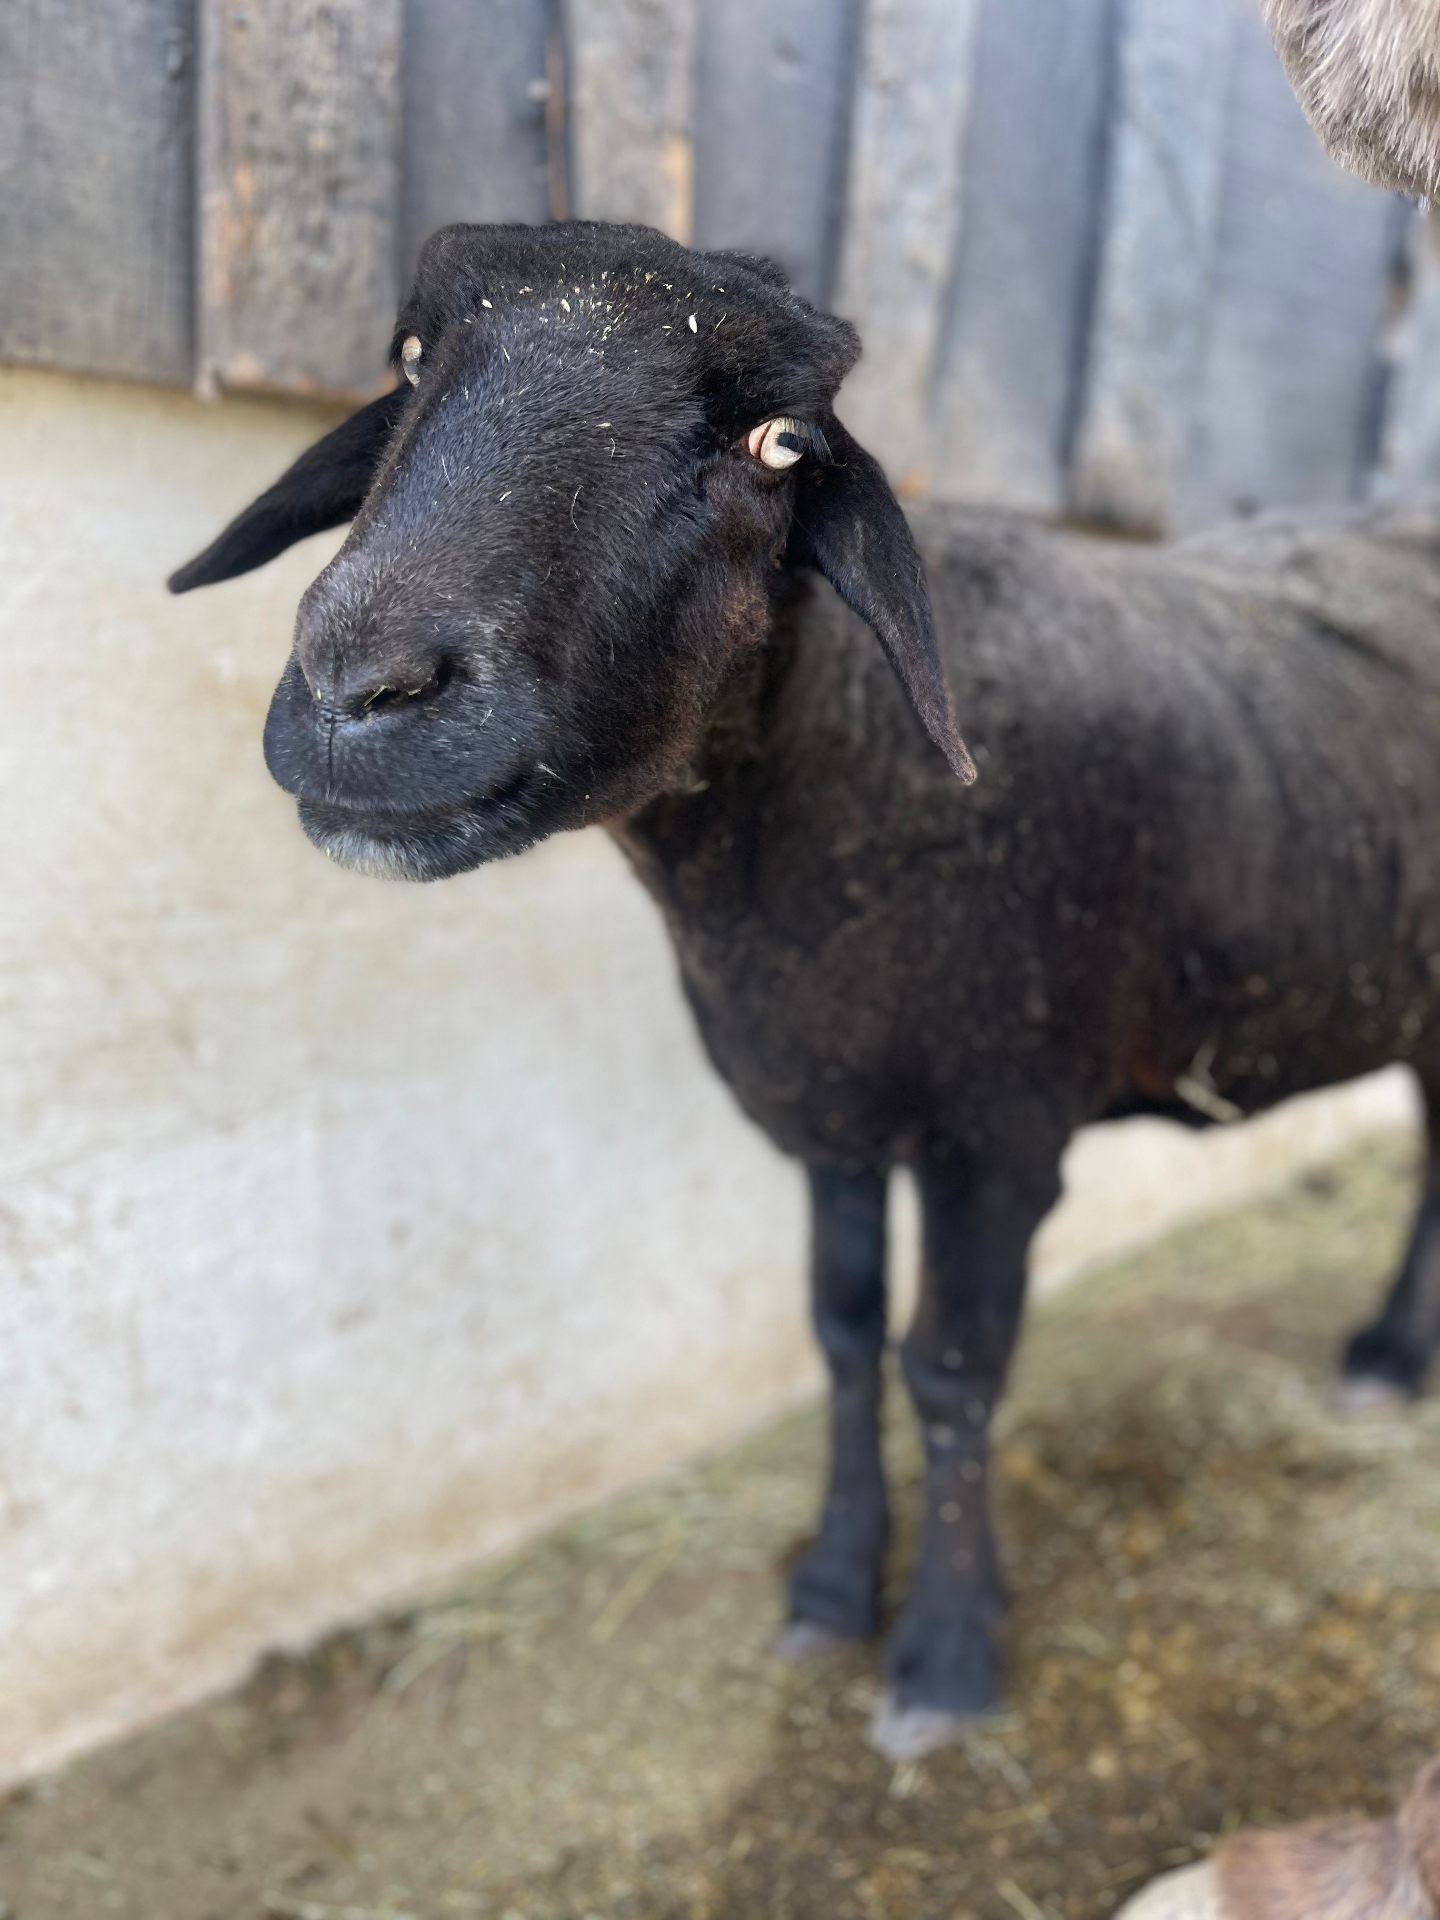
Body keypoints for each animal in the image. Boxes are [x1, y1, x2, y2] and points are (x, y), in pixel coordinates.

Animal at [171, 220, 1440, 1758]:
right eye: (410, 362)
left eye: (778, 443)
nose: (360, 686)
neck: (843, 784)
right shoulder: (828, 1110)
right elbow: (839, 1336)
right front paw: (836, 1585)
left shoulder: (995, 1134)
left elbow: (948, 1372)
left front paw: (945, 1654)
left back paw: (1389, 1351)